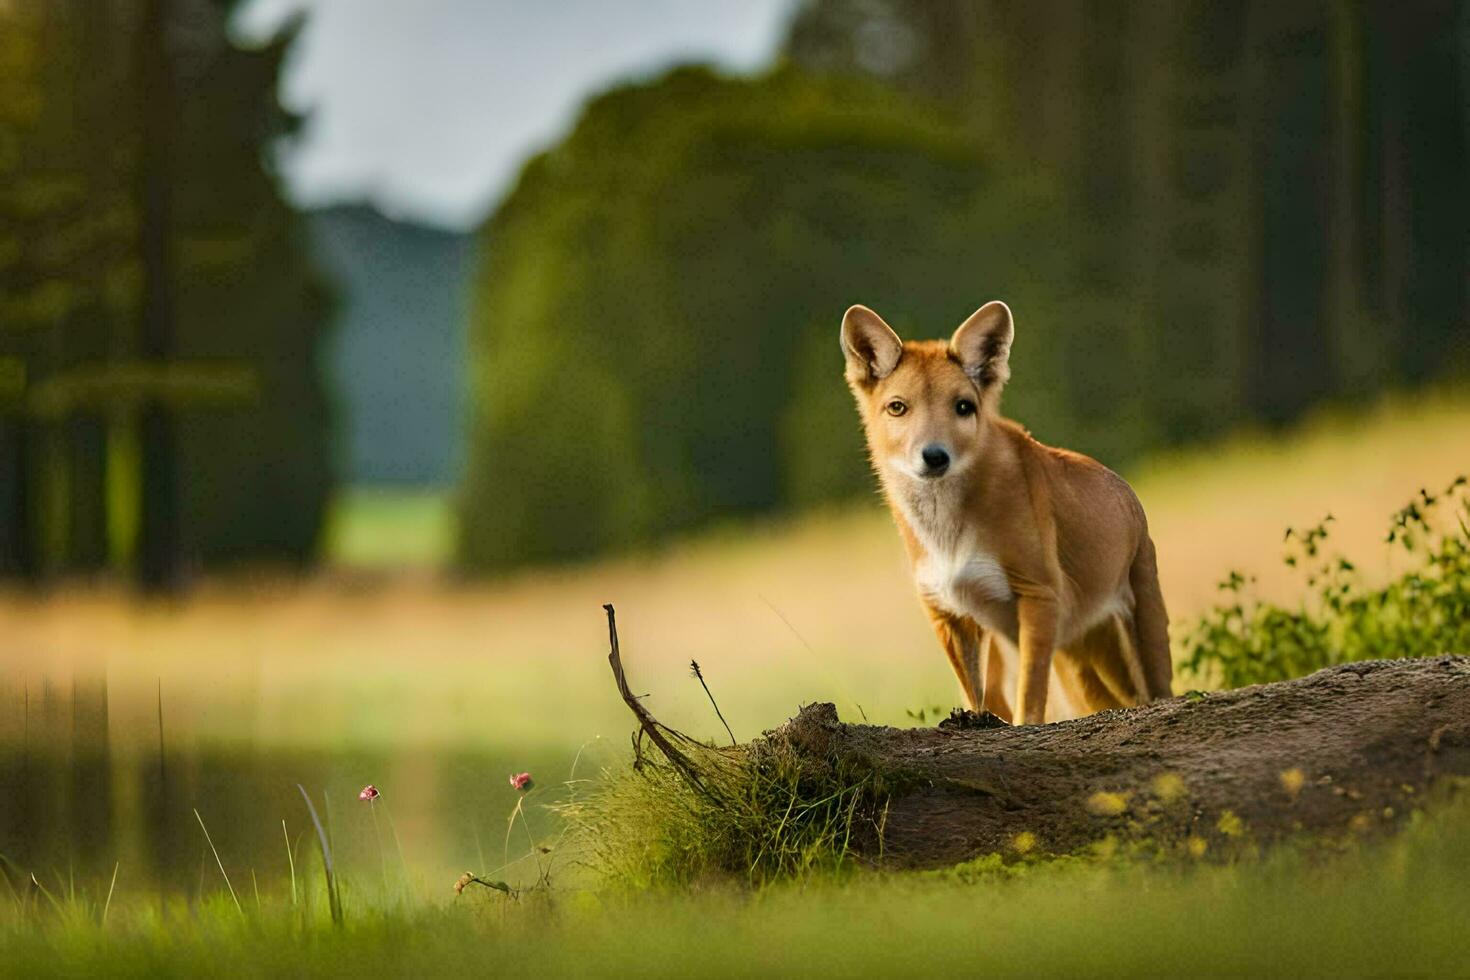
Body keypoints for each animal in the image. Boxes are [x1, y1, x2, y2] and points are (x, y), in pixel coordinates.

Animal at [840, 302, 1170, 725]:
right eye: (898, 407)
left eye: (963, 407)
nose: (934, 456)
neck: (948, 536)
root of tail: (1127, 492)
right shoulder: (948, 614)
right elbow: (979, 698)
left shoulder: (1037, 594)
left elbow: (1028, 702)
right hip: (1071, 663)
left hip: (1141, 634)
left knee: (1160, 692)